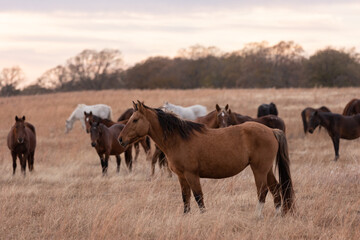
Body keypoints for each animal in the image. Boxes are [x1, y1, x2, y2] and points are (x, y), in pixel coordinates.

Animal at [119, 100, 294, 217]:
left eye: (135, 120)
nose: (120, 139)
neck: (179, 139)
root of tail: (271, 131)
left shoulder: (192, 175)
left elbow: (198, 197)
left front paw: (203, 216)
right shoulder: (182, 176)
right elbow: (186, 197)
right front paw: (186, 216)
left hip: (259, 169)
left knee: (263, 191)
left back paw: (257, 215)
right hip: (266, 169)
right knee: (276, 189)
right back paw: (278, 215)